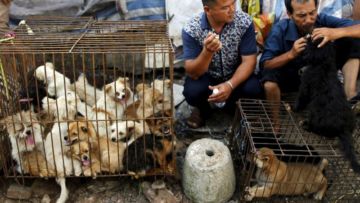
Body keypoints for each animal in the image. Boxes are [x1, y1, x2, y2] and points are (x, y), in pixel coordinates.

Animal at [294, 36, 360, 173]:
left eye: (313, 41)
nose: (307, 36)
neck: (324, 64)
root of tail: (344, 129)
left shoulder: (305, 84)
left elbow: (301, 98)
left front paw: (294, 108)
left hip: (316, 116)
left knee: (316, 129)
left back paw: (306, 125)